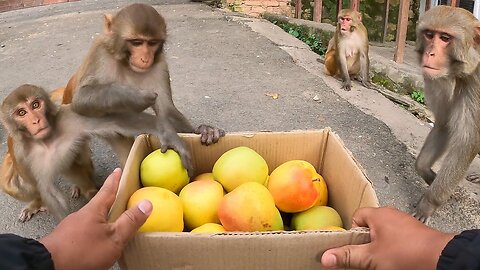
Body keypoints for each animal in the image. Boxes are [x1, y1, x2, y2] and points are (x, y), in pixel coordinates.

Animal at [0, 84, 165, 221]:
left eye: (35, 105)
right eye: (21, 113)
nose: (36, 120)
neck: (48, 141)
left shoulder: (68, 117)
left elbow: (110, 125)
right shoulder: (21, 155)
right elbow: (47, 190)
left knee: (78, 160)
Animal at [410, 5, 480, 224]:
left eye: (445, 38)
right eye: (429, 34)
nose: (430, 53)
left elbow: (467, 142)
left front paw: (429, 203)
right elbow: (444, 125)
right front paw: (428, 174)